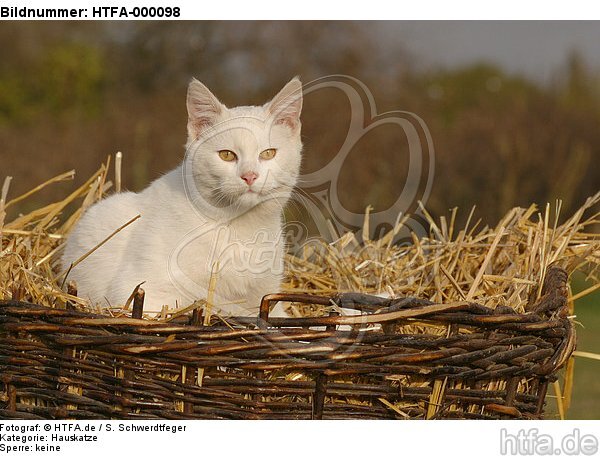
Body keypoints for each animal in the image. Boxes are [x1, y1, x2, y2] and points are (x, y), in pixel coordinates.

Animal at [62, 76, 300, 316]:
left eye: (268, 153)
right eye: (226, 155)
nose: (249, 176)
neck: (238, 226)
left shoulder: (268, 300)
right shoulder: (143, 292)